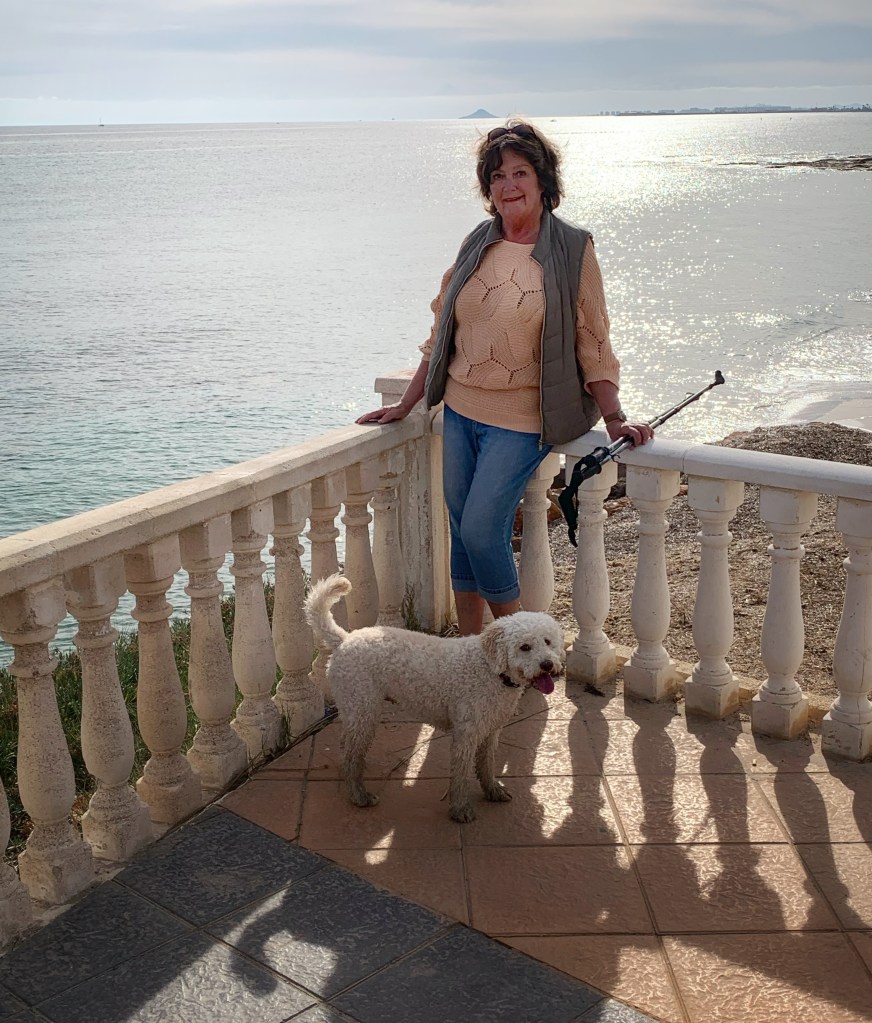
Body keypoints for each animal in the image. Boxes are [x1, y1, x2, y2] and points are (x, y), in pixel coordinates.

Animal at [304, 574, 564, 822]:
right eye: (524, 647)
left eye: (548, 641)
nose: (548, 665)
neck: (490, 669)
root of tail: (344, 639)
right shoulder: (466, 734)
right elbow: (461, 775)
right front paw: (460, 809)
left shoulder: (491, 731)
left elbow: (487, 764)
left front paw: (492, 790)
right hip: (362, 708)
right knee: (350, 753)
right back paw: (359, 795)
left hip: (355, 708)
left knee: (347, 746)